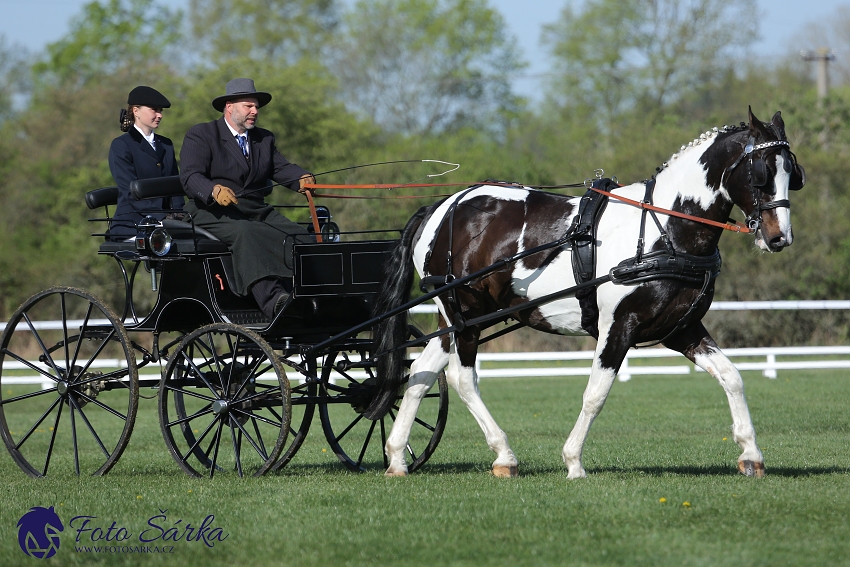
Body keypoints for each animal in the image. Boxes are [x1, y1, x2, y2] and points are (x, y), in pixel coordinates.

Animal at [364, 107, 800, 480]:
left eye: (792, 173)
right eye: (760, 172)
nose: (779, 238)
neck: (665, 229)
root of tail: (442, 207)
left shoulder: (681, 328)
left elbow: (732, 377)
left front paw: (751, 455)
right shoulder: (618, 326)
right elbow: (596, 393)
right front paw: (574, 461)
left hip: (454, 318)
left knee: (422, 372)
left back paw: (399, 457)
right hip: (465, 314)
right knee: (461, 376)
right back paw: (501, 455)